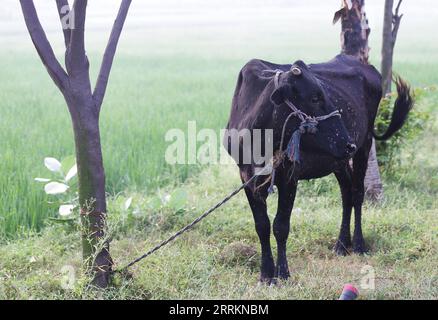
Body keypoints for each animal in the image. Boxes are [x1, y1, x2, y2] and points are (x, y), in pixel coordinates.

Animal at [224, 54, 412, 282]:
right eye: (314, 98)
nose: (348, 143)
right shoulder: (247, 179)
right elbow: (262, 225)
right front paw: (266, 273)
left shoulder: (290, 175)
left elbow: (280, 226)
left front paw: (283, 273)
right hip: (339, 161)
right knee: (347, 194)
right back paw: (341, 245)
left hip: (364, 145)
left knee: (357, 193)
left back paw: (358, 244)